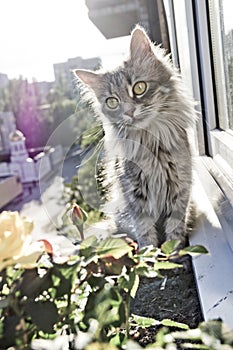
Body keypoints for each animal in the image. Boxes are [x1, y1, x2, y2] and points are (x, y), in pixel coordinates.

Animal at [74, 26, 197, 247]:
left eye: (139, 88)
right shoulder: (134, 194)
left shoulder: (180, 187)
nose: (129, 112)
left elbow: (175, 227)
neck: (152, 143)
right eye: (112, 102)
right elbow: (145, 232)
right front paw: (152, 253)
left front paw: (175, 249)